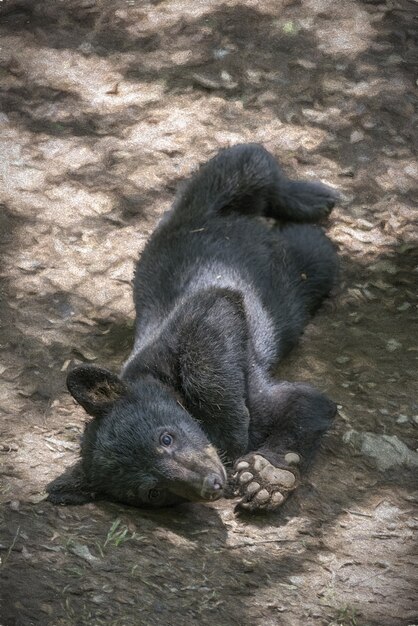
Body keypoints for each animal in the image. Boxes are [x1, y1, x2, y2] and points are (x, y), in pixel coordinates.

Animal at [47, 145, 338, 512]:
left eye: (166, 437)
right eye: (153, 492)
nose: (211, 483)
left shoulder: (187, 324)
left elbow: (300, 401)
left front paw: (259, 471)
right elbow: (306, 405)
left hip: (207, 205)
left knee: (248, 168)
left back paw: (314, 198)